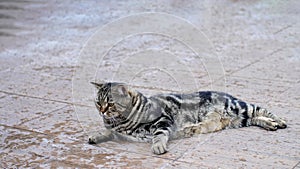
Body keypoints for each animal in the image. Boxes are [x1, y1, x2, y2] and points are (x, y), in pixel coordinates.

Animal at [88, 82, 288, 154]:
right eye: (98, 103)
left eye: (110, 104)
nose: (102, 111)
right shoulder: (119, 133)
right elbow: (106, 132)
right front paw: (95, 136)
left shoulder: (163, 120)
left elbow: (159, 135)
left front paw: (158, 146)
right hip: (239, 121)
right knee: (256, 119)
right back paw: (270, 125)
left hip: (240, 107)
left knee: (262, 110)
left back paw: (279, 121)